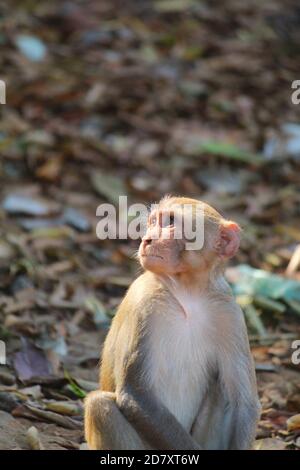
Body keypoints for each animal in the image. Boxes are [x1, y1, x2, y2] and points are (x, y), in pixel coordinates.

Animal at [84, 196, 260, 450]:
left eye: (170, 222)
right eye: (152, 222)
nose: (147, 239)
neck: (188, 293)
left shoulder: (229, 313)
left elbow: (243, 404)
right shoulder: (144, 302)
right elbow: (137, 394)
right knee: (99, 404)